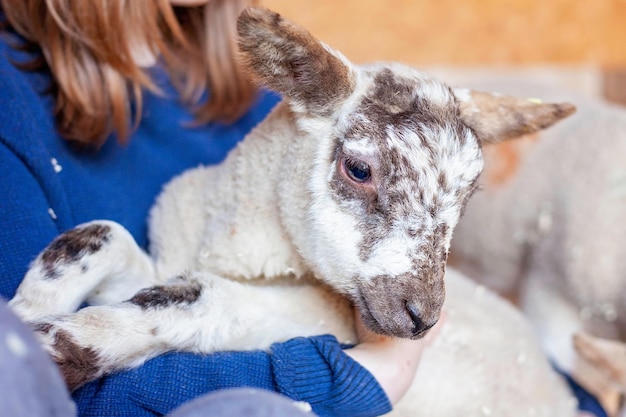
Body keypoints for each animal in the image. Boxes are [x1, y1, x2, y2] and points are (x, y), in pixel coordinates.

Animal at [8, 6, 576, 416]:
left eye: (467, 198)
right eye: (359, 169)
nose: (422, 317)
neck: (230, 245)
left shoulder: (306, 317)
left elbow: (199, 298)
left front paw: (53, 347)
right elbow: (100, 234)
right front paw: (27, 310)